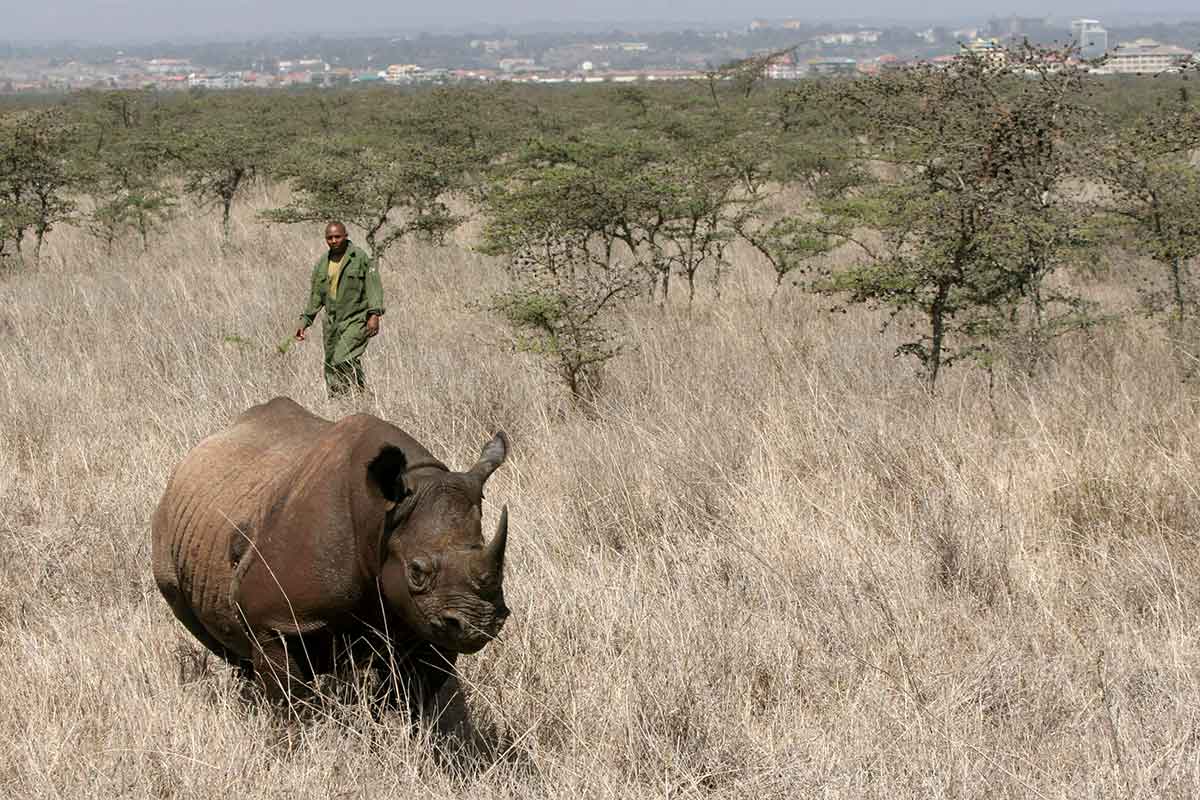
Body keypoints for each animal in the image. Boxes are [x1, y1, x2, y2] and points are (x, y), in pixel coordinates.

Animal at [150, 396, 511, 714]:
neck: (380, 518)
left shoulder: (428, 626)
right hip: (172, 526)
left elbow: (409, 701)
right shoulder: (273, 620)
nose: (480, 624)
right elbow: (289, 703)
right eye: (416, 572)